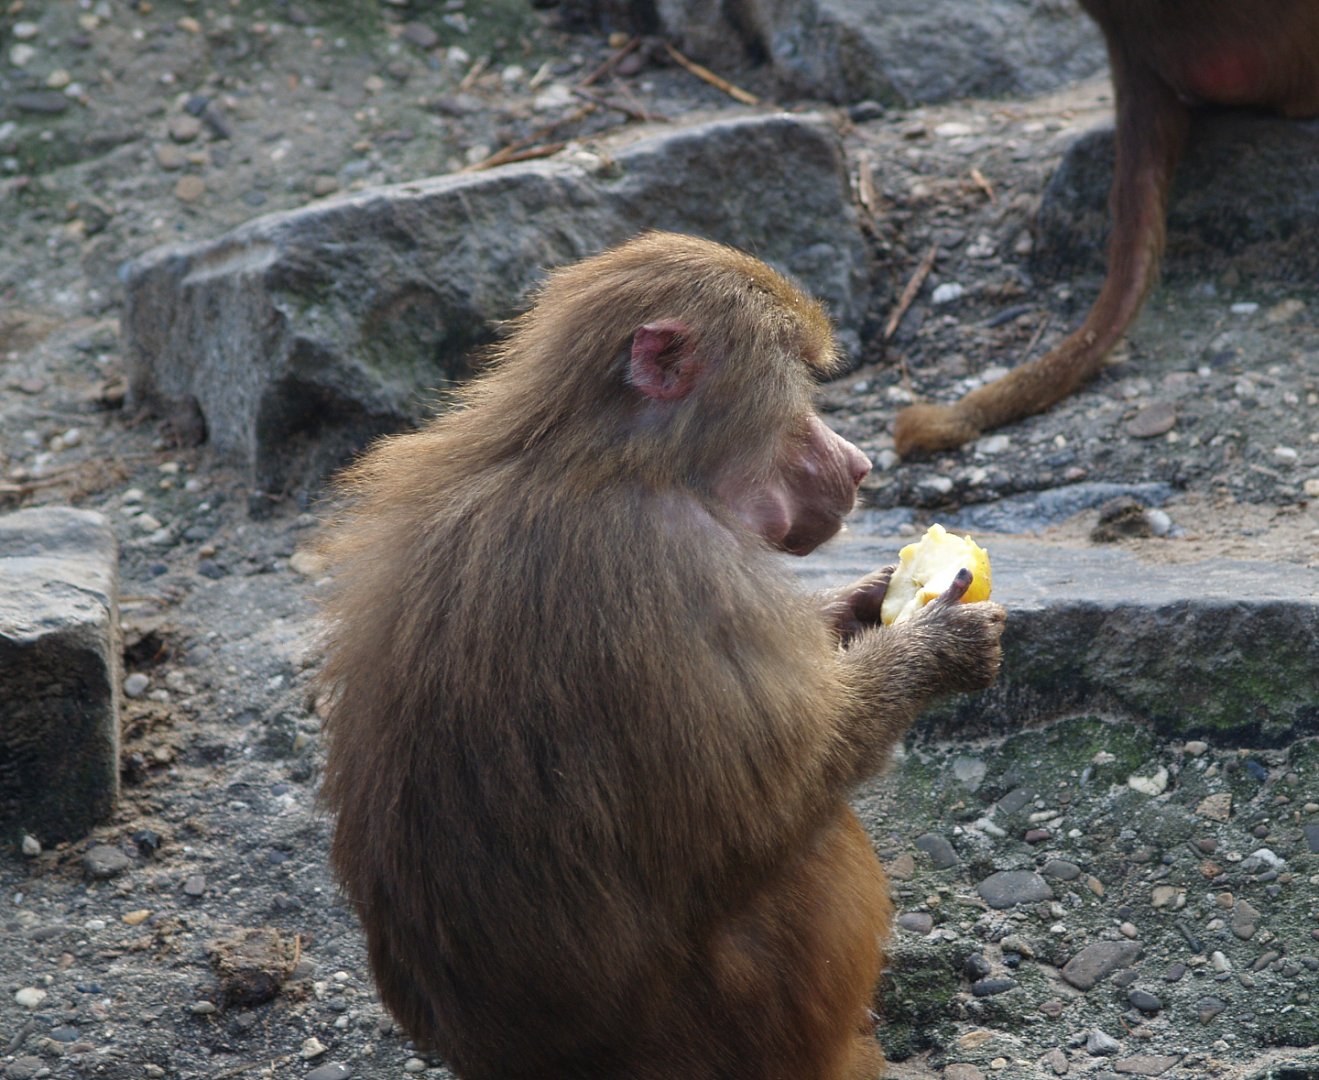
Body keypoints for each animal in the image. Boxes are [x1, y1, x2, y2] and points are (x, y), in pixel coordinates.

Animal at [317, 232, 1006, 1080]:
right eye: (798, 397)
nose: (858, 466)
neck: (603, 456)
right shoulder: (678, 559)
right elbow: (773, 800)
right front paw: (935, 646)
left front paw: (859, 606)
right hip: (736, 1023)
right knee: (811, 840)